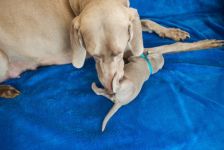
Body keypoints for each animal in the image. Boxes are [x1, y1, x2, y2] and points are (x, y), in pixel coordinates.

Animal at [91, 39, 224, 131]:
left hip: (123, 85)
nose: (147, 51)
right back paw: (95, 86)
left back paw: (115, 75)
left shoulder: (137, 59)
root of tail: (120, 102)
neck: (149, 65)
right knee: (102, 92)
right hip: (112, 94)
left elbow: (134, 56)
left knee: (114, 86)